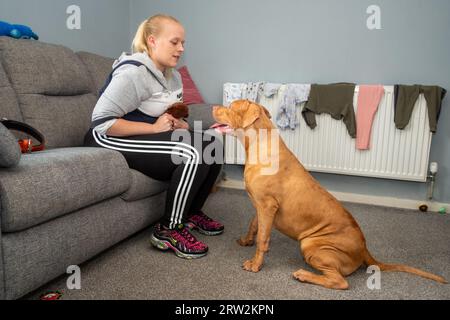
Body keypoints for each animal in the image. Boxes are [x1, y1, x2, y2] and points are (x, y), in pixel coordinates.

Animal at [214, 100, 446, 290]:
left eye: (230, 106)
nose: (213, 107)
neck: (258, 144)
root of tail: (364, 249)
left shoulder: (267, 206)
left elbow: (263, 238)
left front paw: (255, 264)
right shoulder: (261, 206)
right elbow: (254, 226)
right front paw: (246, 241)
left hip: (311, 245)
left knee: (340, 282)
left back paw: (304, 275)